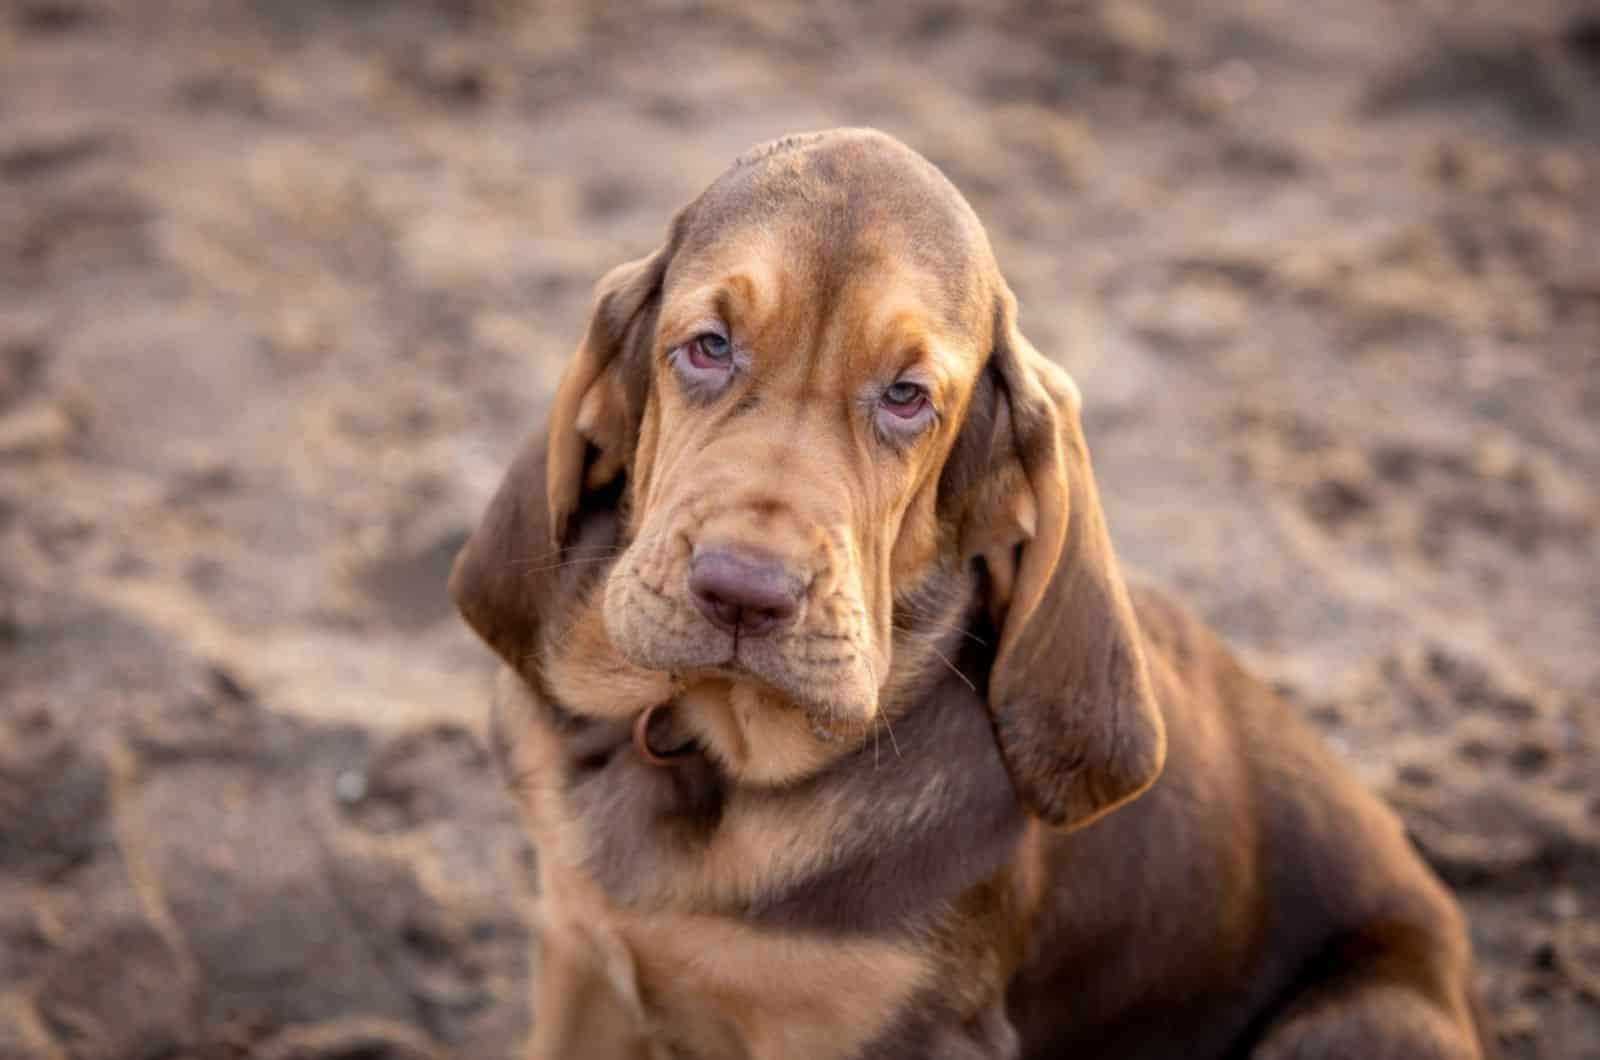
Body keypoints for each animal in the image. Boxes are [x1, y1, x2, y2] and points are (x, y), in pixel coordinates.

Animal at [448, 128, 1484, 1056]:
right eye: (707, 346)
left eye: (907, 398)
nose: (743, 594)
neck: (708, 754)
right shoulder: (581, 963)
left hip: (1360, 1021)